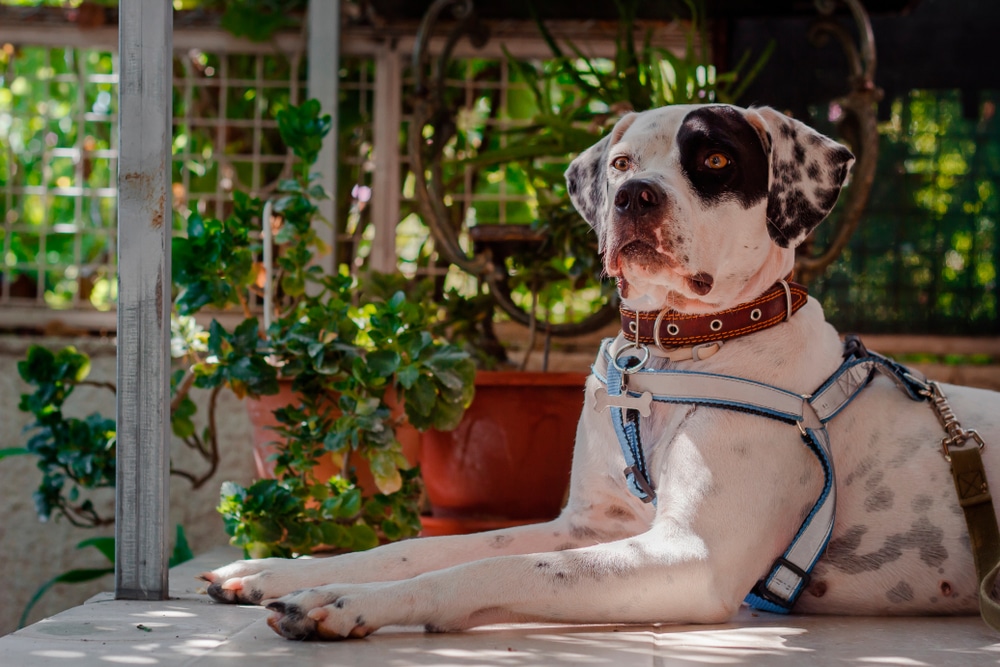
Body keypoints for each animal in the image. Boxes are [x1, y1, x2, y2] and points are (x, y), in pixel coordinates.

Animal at [199, 104, 996, 640]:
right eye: (620, 163)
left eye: (713, 160)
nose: (633, 195)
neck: (678, 349)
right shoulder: (587, 525)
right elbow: (428, 545)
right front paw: (278, 571)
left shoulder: (688, 556)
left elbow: (484, 569)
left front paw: (344, 601)